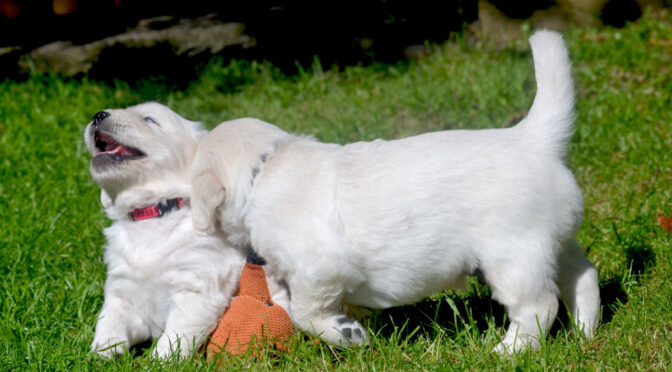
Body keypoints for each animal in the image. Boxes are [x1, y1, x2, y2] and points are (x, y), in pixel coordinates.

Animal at [84, 101, 247, 358]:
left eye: (149, 120)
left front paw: (158, 361)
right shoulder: (122, 289)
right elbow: (109, 317)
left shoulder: (196, 290)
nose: (98, 115)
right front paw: (102, 350)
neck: (152, 211)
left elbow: (174, 338)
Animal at [188, 31, 600, 352]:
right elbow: (286, 300)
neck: (265, 166)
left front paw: (347, 334)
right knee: (582, 275)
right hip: (554, 243)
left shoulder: (320, 268)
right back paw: (585, 331)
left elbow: (305, 311)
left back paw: (507, 351)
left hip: (514, 256)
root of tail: (532, 138)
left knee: (539, 305)